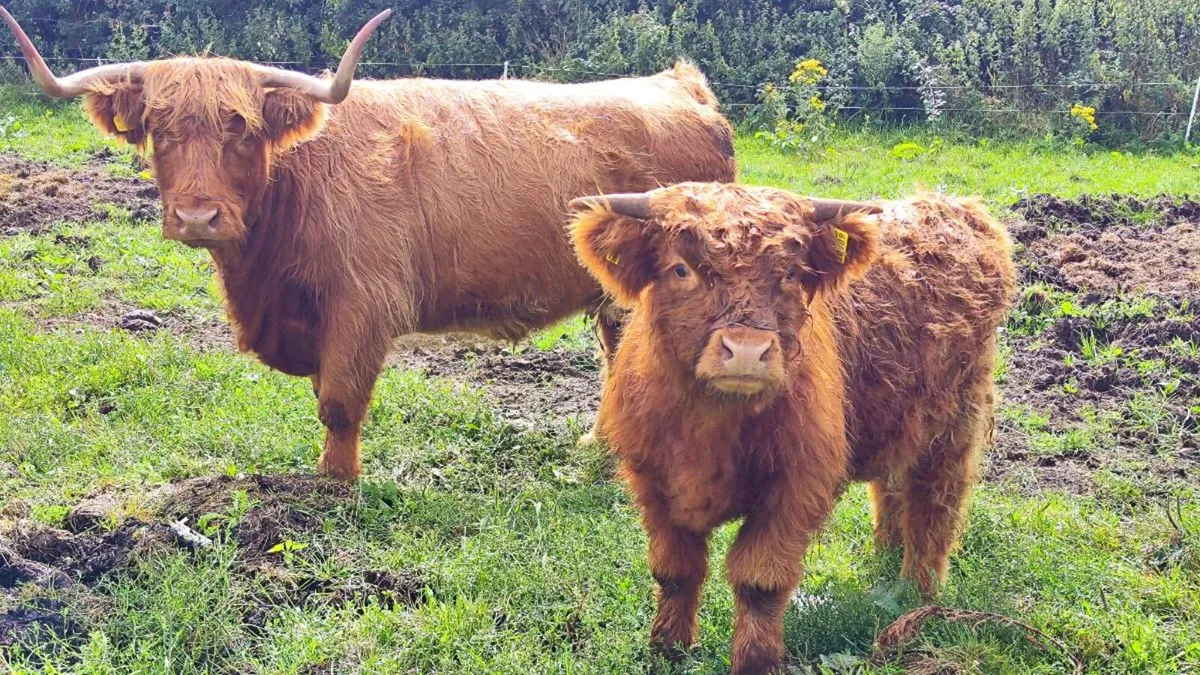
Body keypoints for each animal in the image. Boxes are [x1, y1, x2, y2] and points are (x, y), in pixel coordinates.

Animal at [0, 8, 737, 481]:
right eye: (159, 126)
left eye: (242, 127)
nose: (197, 216)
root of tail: (679, 84)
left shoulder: (363, 304)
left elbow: (338, 402)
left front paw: (334, 485)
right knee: (618, 355)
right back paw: (599, 446)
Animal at [567, 183, 1016, 674]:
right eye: (681, 269)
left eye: (789, 273)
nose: (746, 350)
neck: (710, 427)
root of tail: (949, 203)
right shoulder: (651, 480)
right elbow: (675, 572)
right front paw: (668, 651)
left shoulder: (795, 487)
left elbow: (759, 581)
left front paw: (753, 662)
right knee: (890, 486)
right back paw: (883, 555)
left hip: (955, 423)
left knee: (934, 508)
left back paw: (916, 595)